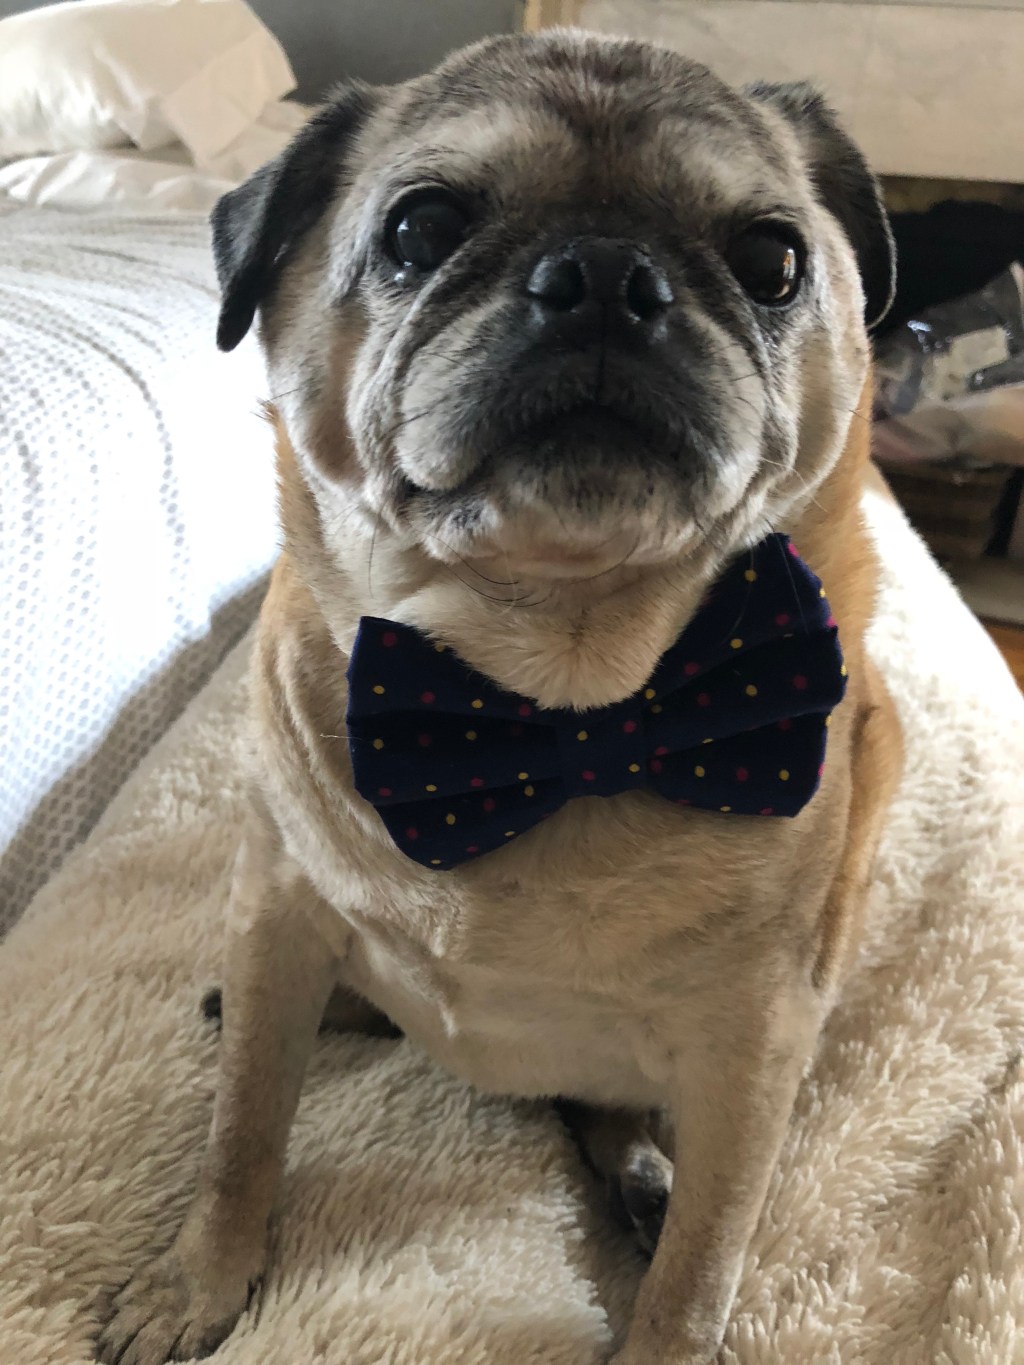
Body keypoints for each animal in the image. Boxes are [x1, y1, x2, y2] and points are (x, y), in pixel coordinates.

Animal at [99, 29, 902, 1365]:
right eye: (419, 229)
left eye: (772, 262)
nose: (606, 275)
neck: (545, 706)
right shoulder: (278, 911)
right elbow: (240, 1133)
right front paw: (196, 1281)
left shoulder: (750, 1051)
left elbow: (697, 1276)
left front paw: (666, 1317)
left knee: (627, 1134)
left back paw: (638, 1175)